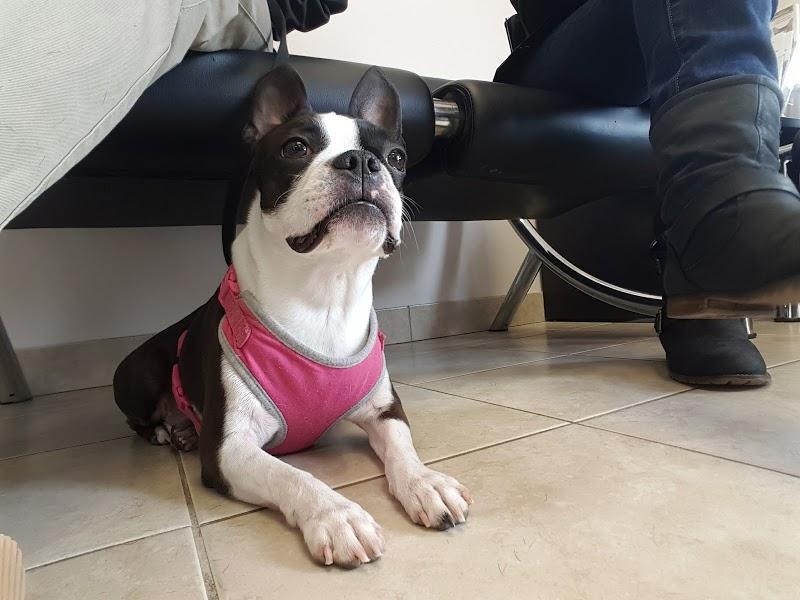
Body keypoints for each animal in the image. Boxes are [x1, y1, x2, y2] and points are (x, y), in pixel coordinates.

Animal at [113, 65, 472, 567]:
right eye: (296, 148)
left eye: (397, 157)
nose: (362, 161)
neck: (325, 291)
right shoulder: (229, 450)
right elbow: (293, 476)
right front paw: (338, 516)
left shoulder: (385, 411)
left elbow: (403, 451)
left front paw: (425, 484)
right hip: (140, 373)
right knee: (140, 418)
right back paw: (171, 432)